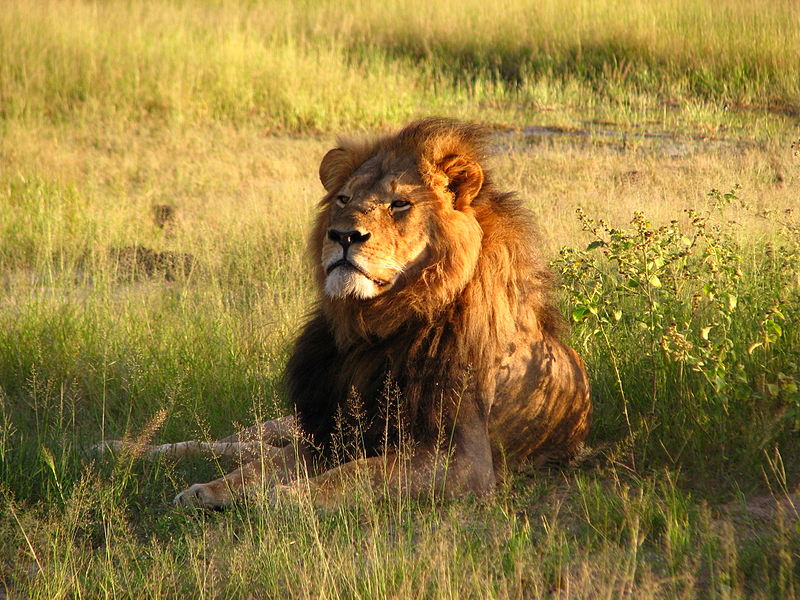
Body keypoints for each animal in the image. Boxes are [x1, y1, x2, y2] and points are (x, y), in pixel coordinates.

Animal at [100, 119, 592, 508]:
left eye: (399, 204)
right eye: (342, 199)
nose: (343, 236)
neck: (375, 326)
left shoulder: (463, 459)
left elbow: (357, 472)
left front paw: (286, 498)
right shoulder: (327, 431)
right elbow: (262, 468)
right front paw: (211, 490)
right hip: (291, 421)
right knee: (238, 442)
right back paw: (122, 447)